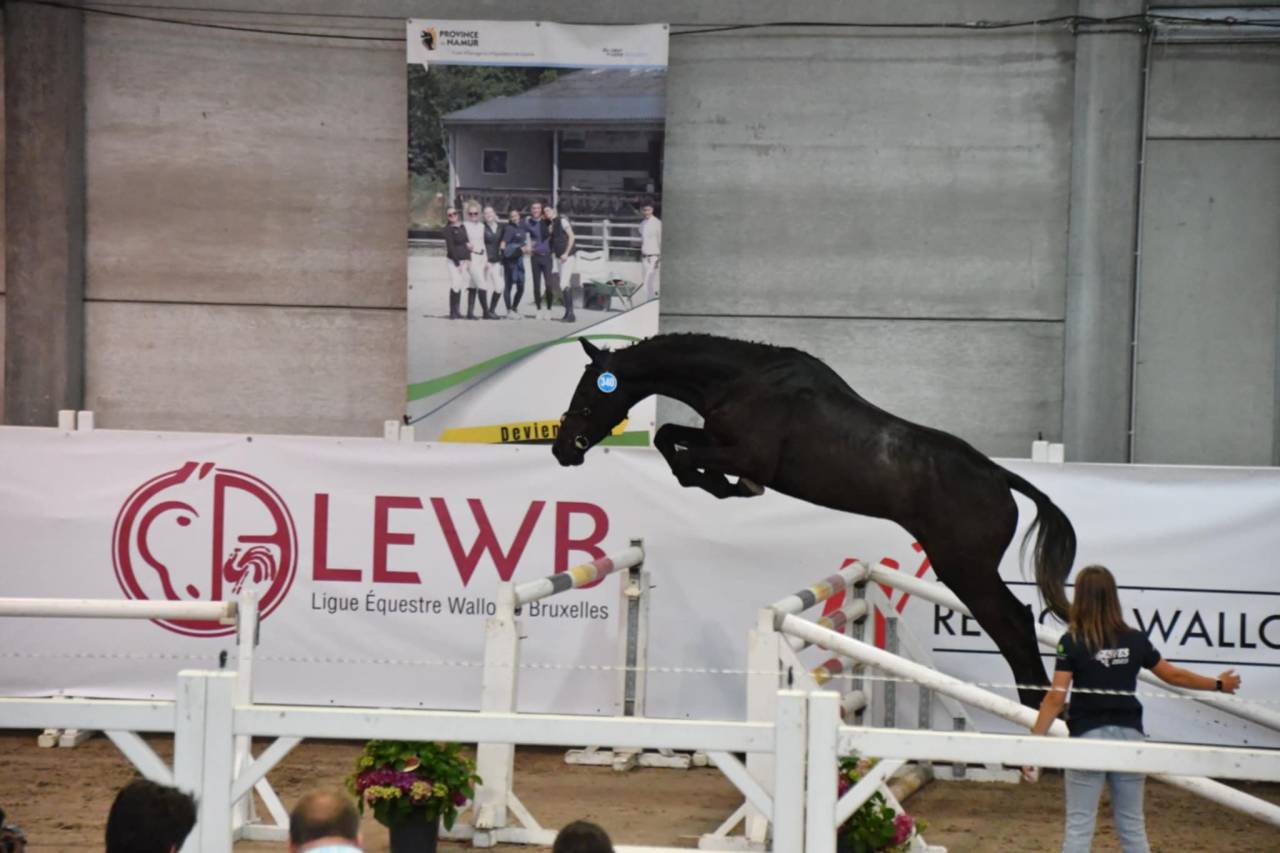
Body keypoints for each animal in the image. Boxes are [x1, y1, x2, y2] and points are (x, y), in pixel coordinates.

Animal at [551, 334, 1076, 708]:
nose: (562, 449)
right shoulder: (718, 438)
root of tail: (1000, 477)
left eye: (588, 391)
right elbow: (669, 434)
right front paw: (711, 481)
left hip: (965, 569)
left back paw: (1035, 709)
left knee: (1013, 623)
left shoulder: (747, 455)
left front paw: (715, 483)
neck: (744, 380)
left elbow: (678, 448)